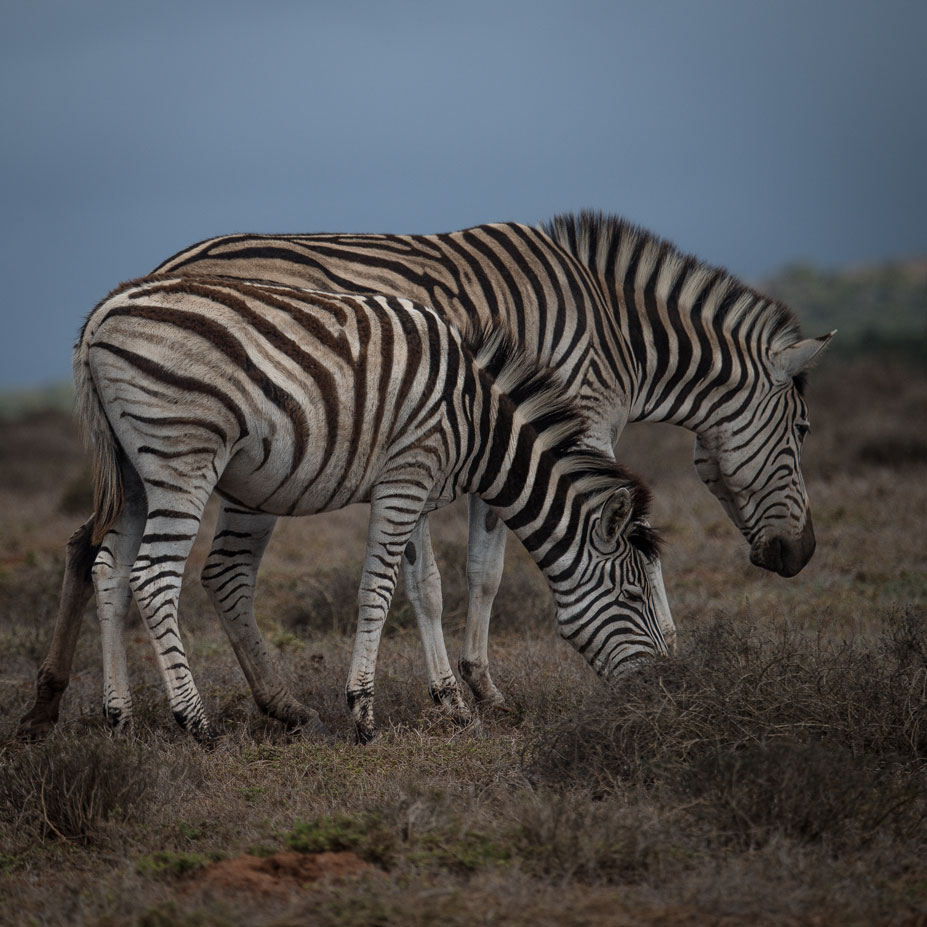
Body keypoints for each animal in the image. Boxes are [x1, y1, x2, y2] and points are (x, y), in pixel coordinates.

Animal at [69, 272, 672, 744]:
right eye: (634, 595)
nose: (658, 691)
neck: (475, 423)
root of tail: (103, 312)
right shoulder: (406, 476)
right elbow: (377, 591)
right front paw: (362, 713)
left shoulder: (416, 489)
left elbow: (427, 590)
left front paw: (453, 706)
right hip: (183, 457)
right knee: (153, 578)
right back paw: (196, 724)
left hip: (133, 474)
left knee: (109, 572)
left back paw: (120, 718)